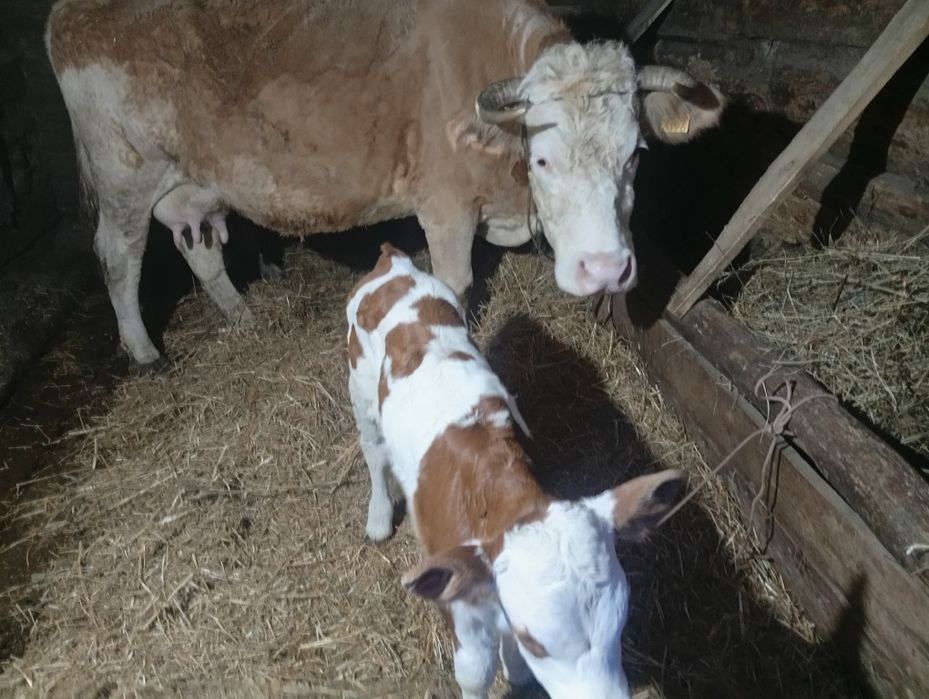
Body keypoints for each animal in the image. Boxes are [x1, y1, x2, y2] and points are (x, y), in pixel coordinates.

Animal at [46, 0, 725, 372]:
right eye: (543, 159)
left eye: (635, 154)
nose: (605, 269)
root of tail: (69, 11)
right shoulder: (446, 205)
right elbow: (454, 283)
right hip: (125, 173)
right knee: (118, 257)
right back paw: (143, 352)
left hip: (192, 182)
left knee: (200, 250)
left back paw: (242, 317)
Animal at [347, 243, 684, 699]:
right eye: (535, 642)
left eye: (619, 624)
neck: (503, 494)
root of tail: (392, 261)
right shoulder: (465, 620)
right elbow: (475, 675)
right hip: (360, 387)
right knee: (374, 451)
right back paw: (379, 518)